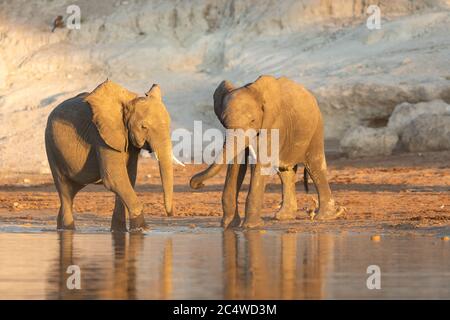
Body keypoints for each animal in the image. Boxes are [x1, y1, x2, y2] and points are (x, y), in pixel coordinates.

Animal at [44, 79, 179, 231]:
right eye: (144, 127)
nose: (170, 214)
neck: (127, 103)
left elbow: (129, 177)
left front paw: (119, 231)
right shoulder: (101, 135)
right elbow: (114, 178)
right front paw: (142, 230)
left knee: (72, 191)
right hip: (52, 147)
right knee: (65, 190)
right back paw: (67, 229)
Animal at [189, 76, 342, 229]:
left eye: (252, 120)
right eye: (224, 122)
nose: (199, 185)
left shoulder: (274, 124)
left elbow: (260, 163)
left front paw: (251, 227)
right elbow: (236, 165)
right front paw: (229, 226)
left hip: (315, 129)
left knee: (315, 166)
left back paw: (324, 217)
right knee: (285, 171)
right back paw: (283, 217)